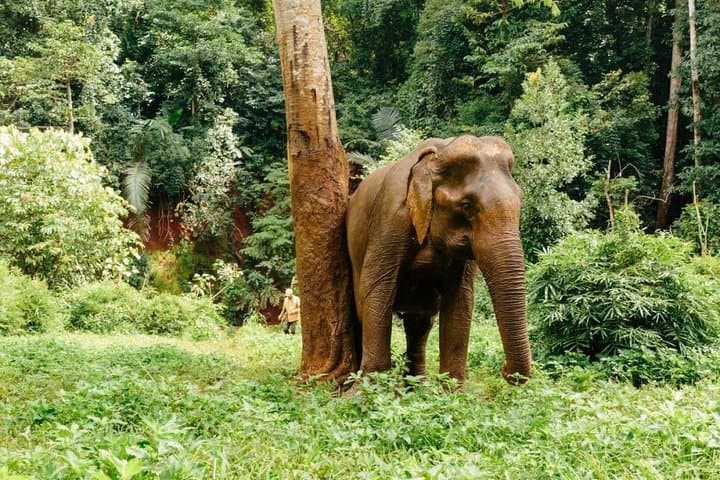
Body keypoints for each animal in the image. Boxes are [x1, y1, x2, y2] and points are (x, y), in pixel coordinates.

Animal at [346, 135, 531, 385]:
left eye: (521, 199)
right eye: (466, 205)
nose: (505, 370)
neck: (440, 152)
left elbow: (461, 299)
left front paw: (452, 390)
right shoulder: (389, 218)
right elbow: (377, 288)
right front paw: (370, 388)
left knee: (419, 323)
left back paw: (416, 386)